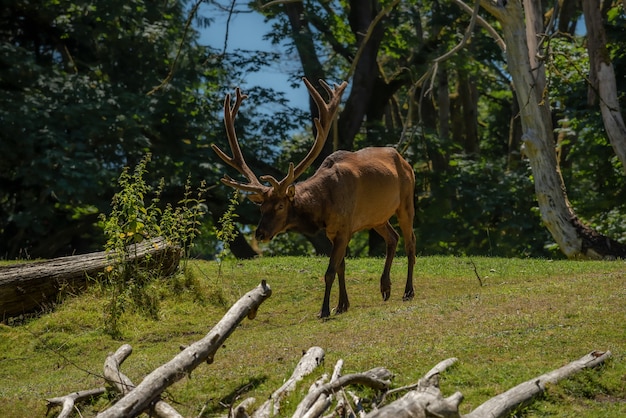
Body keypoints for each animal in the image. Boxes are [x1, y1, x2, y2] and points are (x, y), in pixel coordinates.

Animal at [213, 78, 414, 316]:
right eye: (261, 208)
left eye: (280, 206)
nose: (260, 233)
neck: (323, 207)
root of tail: (404, 160)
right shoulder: (333, 232)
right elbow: (341, 267)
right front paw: (342, 305)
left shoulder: (344, 227)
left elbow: (330, 271)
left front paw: (325, 310)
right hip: (377, 218)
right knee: (393, 237)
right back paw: (385, 287)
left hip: (406, 201)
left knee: (410, 242)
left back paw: (408, 291)